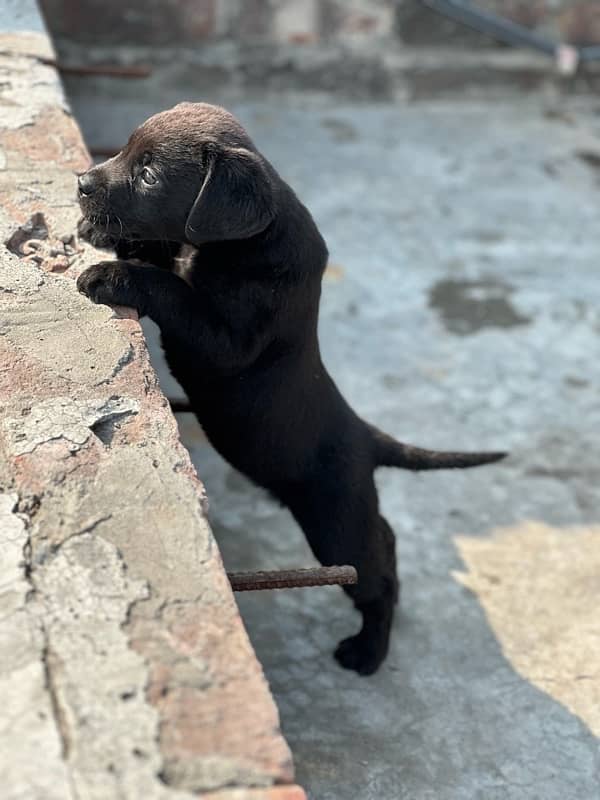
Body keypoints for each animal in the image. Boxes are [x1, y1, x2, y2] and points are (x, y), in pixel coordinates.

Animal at [76, 100, 506, 676]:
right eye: (123, 150)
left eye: (148, 175)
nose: (81, 183)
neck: (244, 242)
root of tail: (367, 437)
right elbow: (164, 258)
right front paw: (103, 233)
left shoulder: (227, 340)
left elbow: (172, 288)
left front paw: (113, 273)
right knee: (386, 541)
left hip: (334, 521)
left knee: (376, 578)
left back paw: (368, 650)